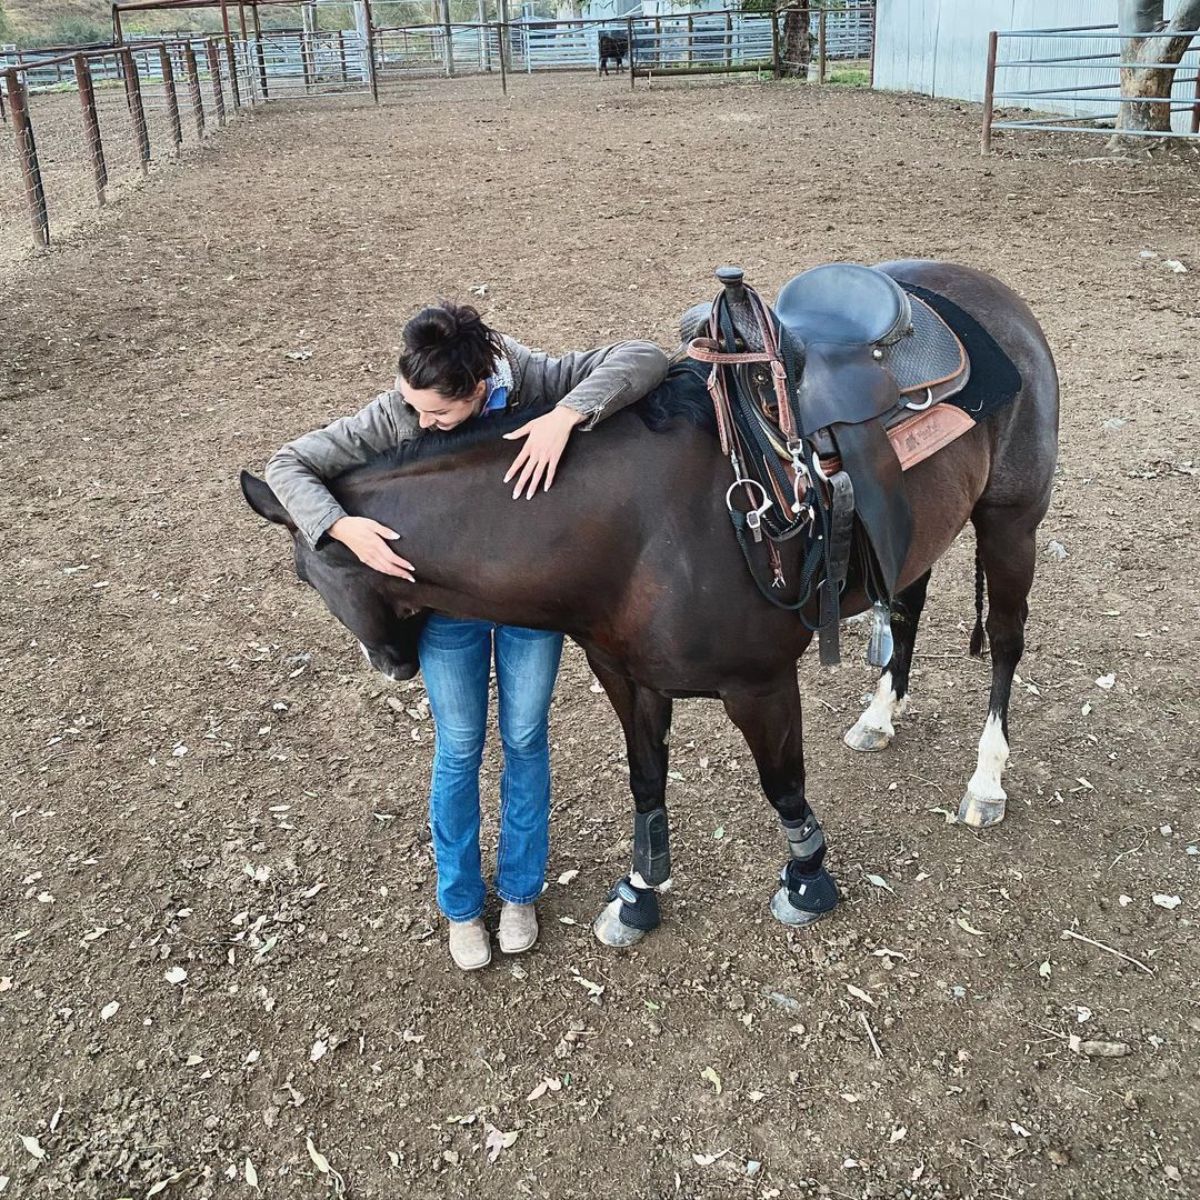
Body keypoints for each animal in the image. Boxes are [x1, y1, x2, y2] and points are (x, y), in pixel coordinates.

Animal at [246, 260, 1060, 945]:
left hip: (1010, 523)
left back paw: (986, 781)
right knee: (908, 606)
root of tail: (990, 292)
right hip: (917, 528)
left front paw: (807, 880)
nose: (392, 665)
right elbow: (645, 780)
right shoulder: (625, 674)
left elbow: (783, 785)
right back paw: (880, 716)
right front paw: (638, 894)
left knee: (1007, 642)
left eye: (310, 573)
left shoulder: (760, 685)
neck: (638, 529)